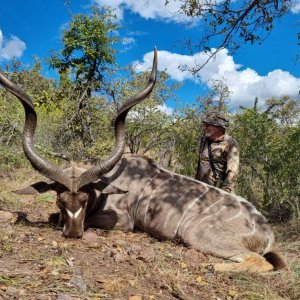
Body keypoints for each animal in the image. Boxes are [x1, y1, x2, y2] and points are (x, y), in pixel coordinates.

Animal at [0, 49, 286, 272]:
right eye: (60, 200)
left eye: (84, 199)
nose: (73, 233)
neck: (107, 185)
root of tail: (267, 233)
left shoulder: (122, 222)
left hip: (199, 236)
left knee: (259, 261)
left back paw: (212, 267)